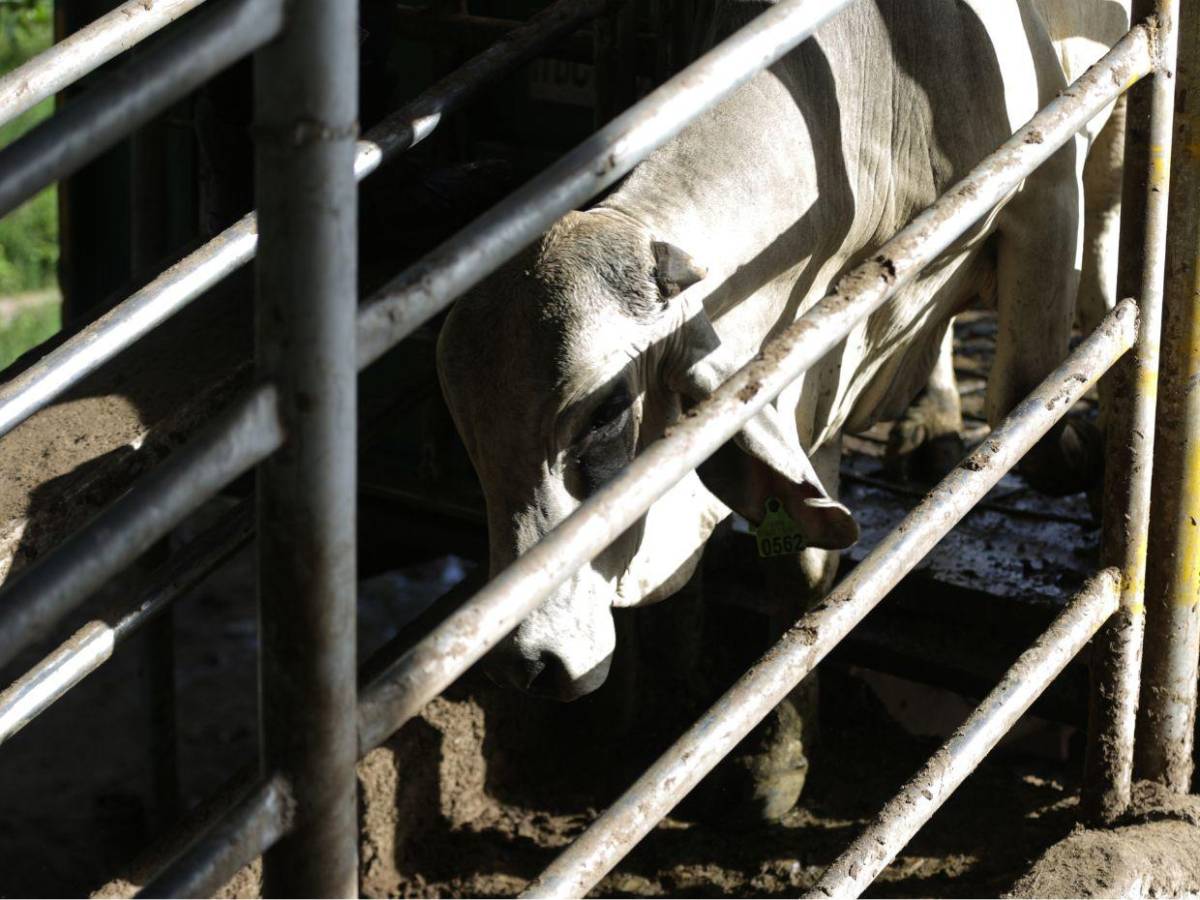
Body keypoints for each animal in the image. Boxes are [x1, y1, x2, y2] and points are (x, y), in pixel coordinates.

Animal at [439, 0, 1123, 710]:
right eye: (471, 433)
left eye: (605, 413)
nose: (527, 663)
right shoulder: (811, 367)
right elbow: (805, 575)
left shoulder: (1048, 191)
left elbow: (1026, 397)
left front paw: (1097, 453)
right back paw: (931, 416)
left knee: (1111, 204)